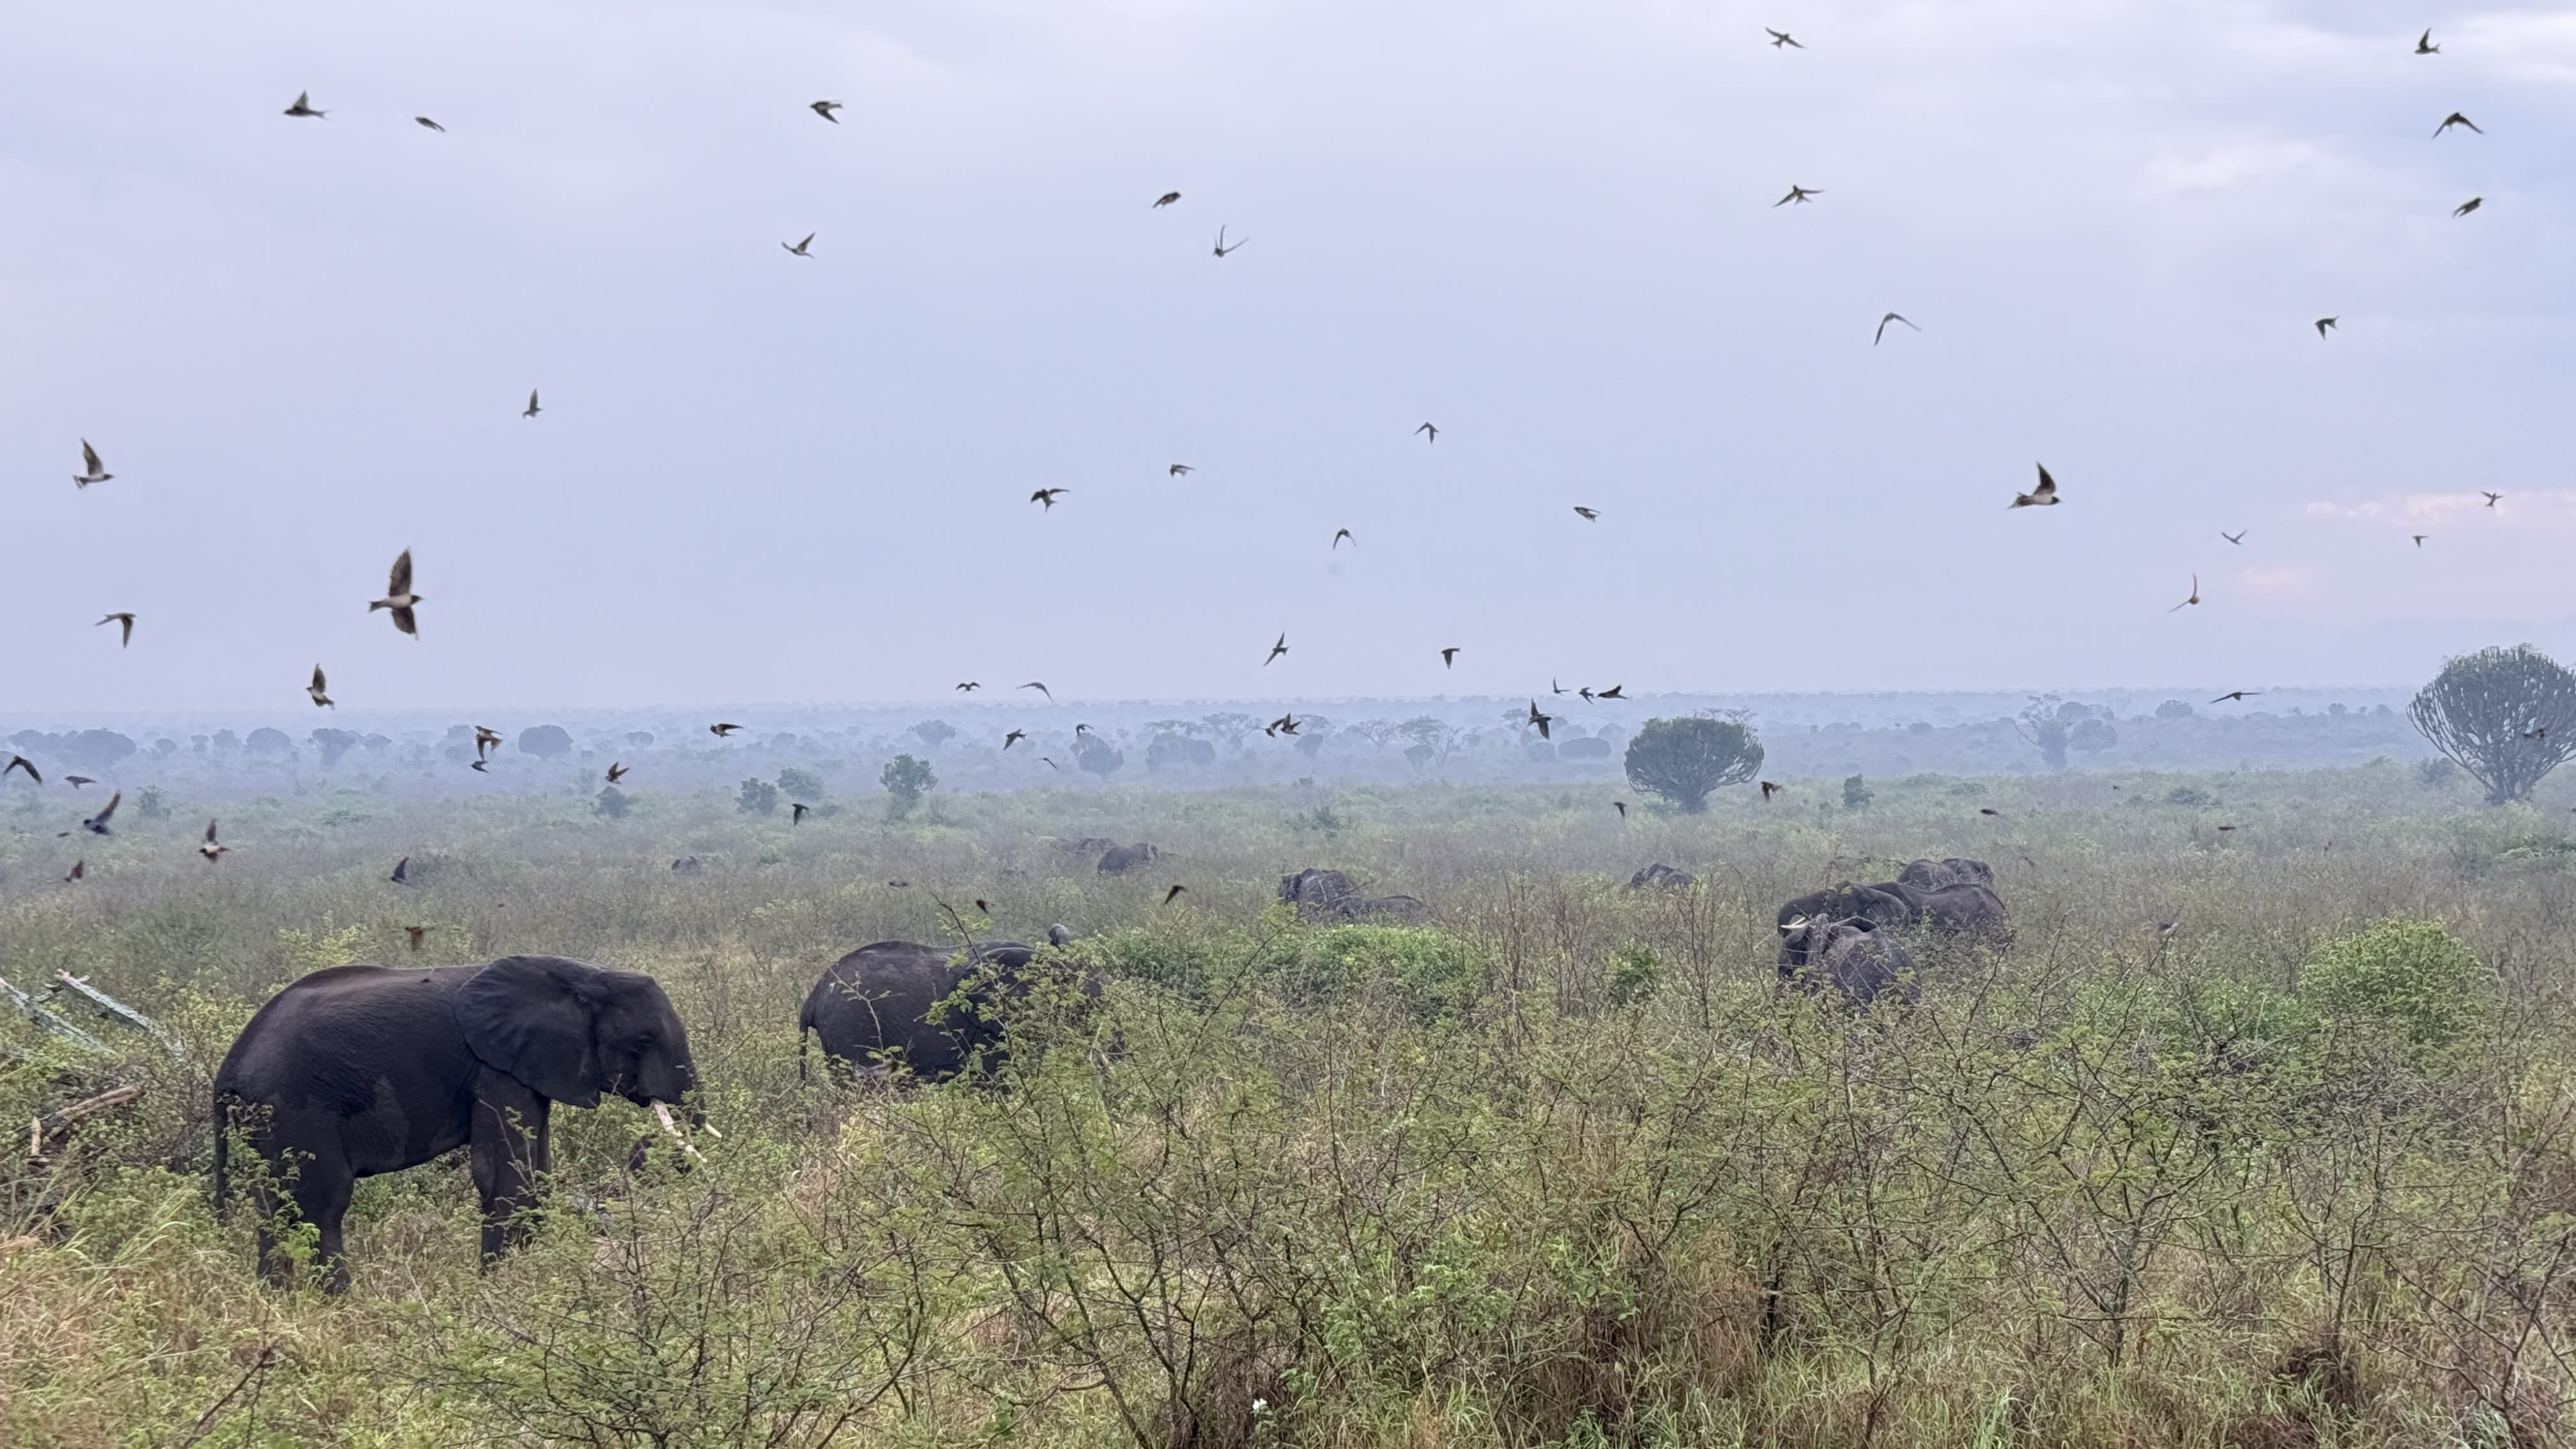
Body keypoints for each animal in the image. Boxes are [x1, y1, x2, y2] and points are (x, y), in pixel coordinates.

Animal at [212, 955, 704, 1292]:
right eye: (643, 1041)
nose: (644, 1144)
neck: (580, 973)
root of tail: (229, 1068)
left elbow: (537, 1175)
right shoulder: (495, 1069)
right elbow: (506, 1180)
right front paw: (497, 1290)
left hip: (266, 1119)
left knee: (274, 1208)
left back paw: (277, 1300)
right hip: (298, 1107)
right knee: (322, 1204)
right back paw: (339, 1302)